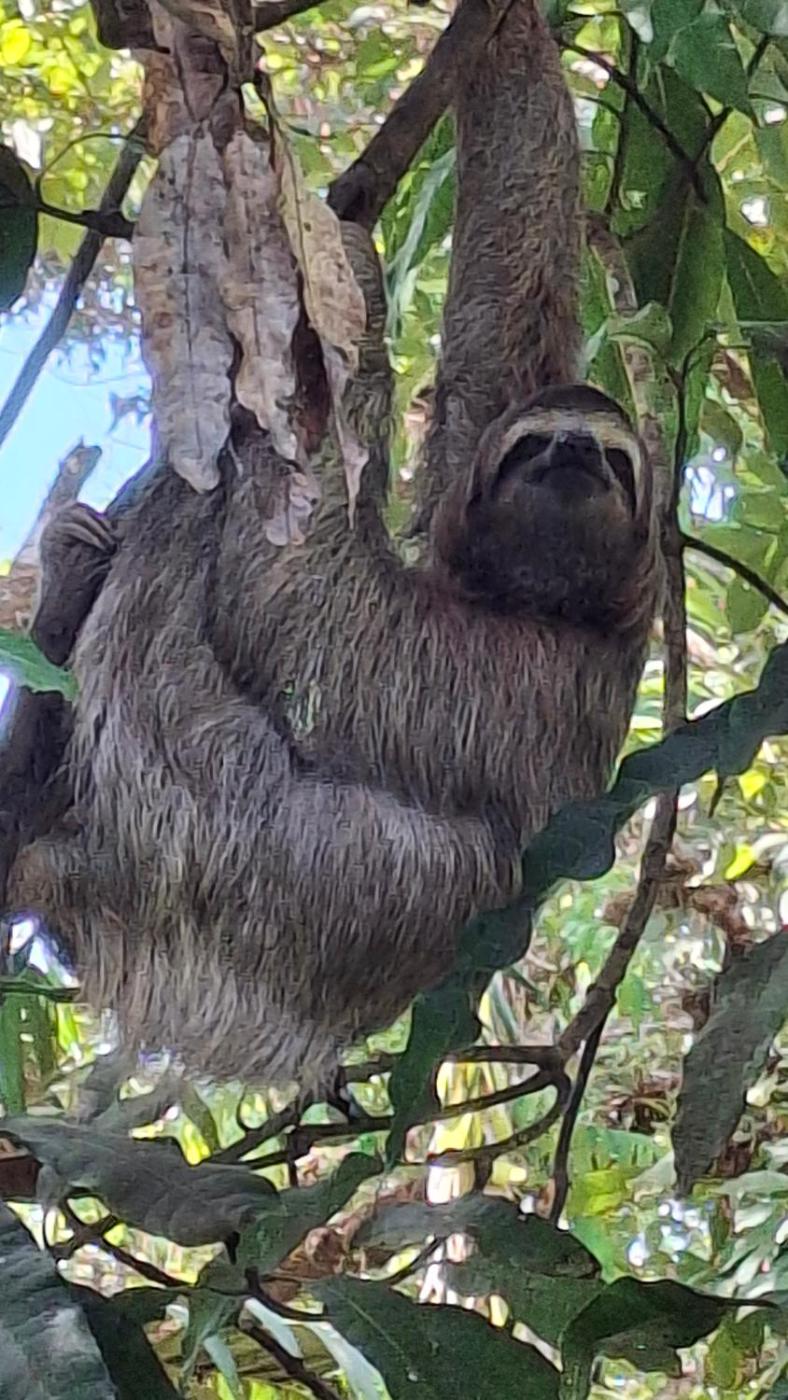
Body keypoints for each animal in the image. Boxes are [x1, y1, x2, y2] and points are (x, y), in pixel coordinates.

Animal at [7, 0, 660, 1088]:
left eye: (613, 462)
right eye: (534, 444)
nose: (572, 451)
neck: (535, 603)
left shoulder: (508, 676)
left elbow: (304, 604)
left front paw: (343, 266)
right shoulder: (470, 468)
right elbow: (511, 276)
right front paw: (508, 32)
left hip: (209, 837)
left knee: (160, 642)